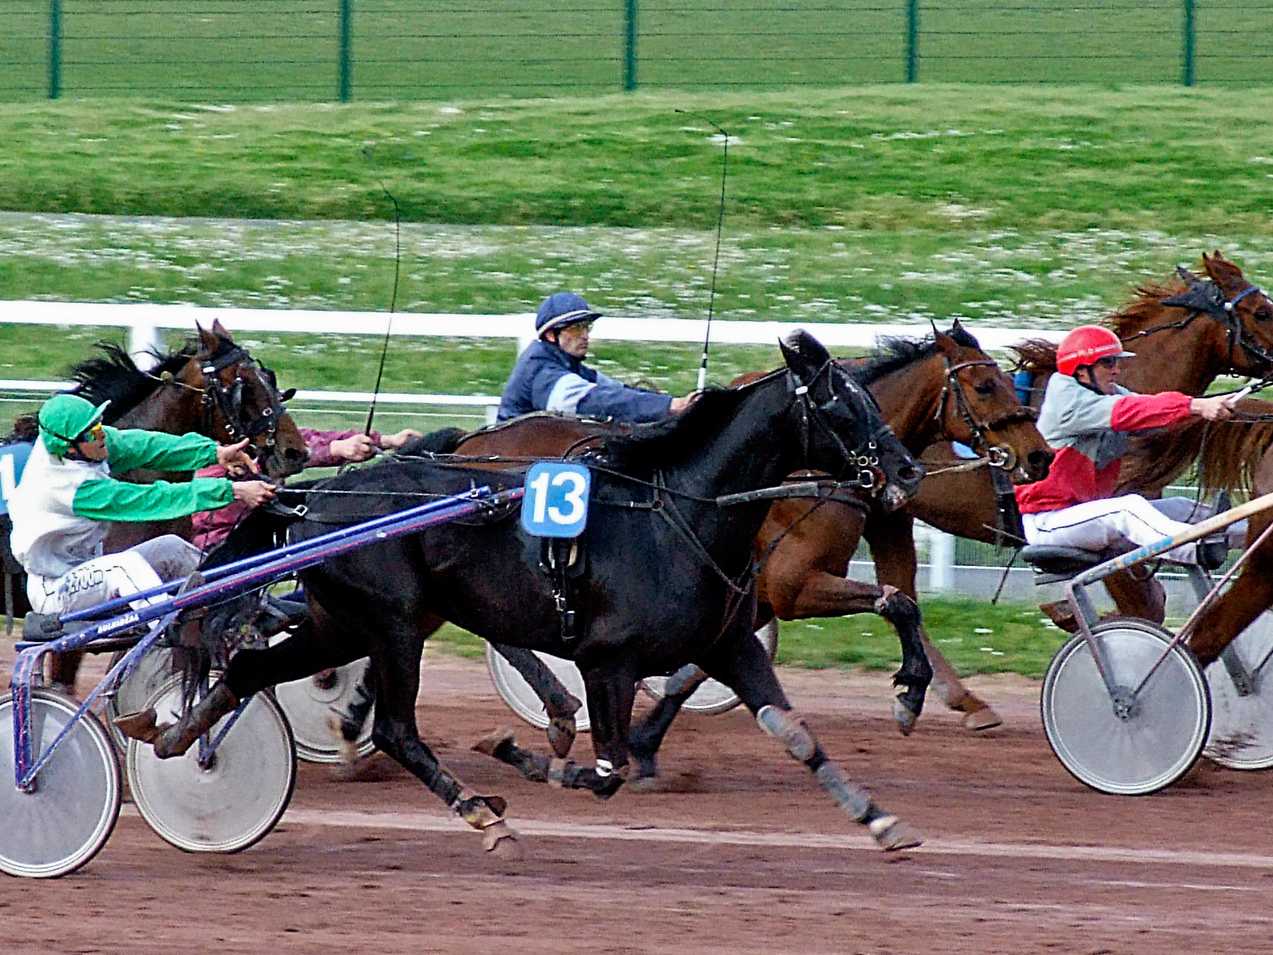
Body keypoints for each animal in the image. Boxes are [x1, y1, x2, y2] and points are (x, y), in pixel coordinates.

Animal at [119, 333, 931, 855]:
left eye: (870, 399)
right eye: (841, 405)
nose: (904, 471)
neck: (672, 514)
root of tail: (311, 497)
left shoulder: (726, 643)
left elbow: (796, 732)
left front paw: (879, 817)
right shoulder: (609, 662)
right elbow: (604, 772)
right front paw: (514, 749)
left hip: (340, 622)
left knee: (248, 668)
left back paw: (177, 740)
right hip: (393, 625)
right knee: (398, 730)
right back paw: (483, 814)